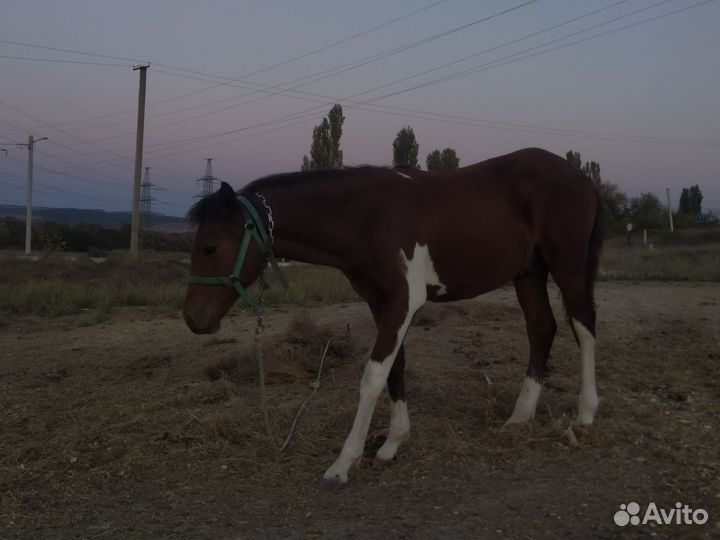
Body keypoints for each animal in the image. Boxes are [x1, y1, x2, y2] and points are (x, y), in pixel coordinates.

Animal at [183, 147, 603, 484]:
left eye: (210, 246)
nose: (193, 319)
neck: (369, 216)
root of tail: (580, 178)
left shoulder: (403, 300)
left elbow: (372, 376)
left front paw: (343, 463)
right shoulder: (379, 301)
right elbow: (395, 367)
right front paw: (392, 443)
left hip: (567, 266)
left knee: (583, 327)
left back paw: (585, 413)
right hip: (528, 272)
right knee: (541, 328)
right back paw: (520, 416)